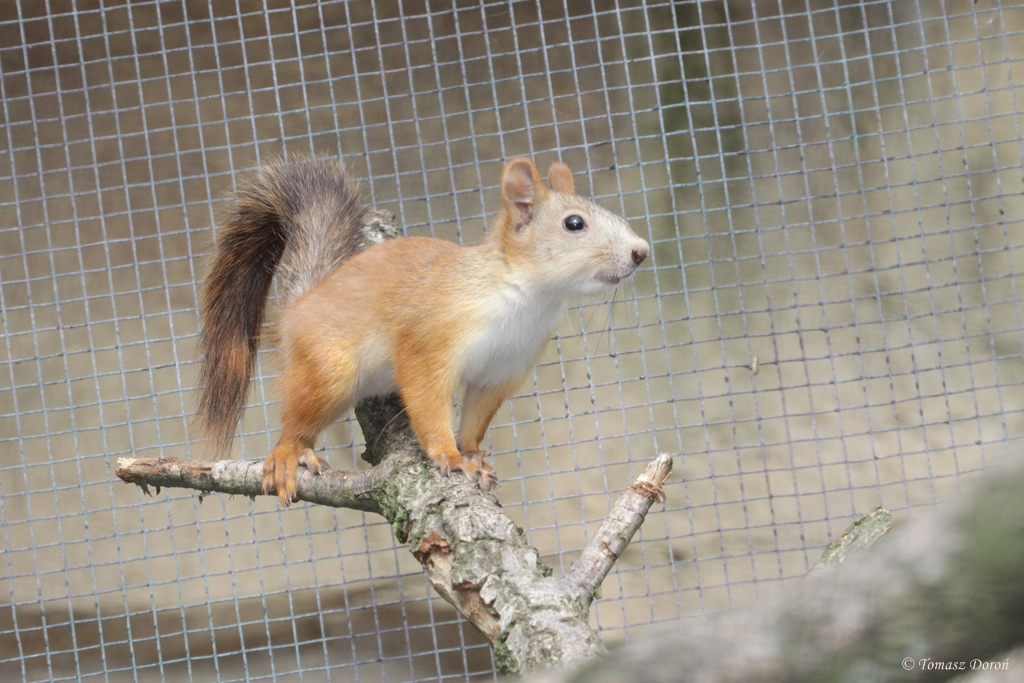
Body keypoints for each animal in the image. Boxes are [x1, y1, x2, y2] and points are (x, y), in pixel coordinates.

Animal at [196, 157, 649, 505]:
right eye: (574, 223)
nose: (641, 251)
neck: (527, 300)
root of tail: (299, 307)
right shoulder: (429, 341)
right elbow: (428, 402)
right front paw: (449, 455)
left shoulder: (504, 370)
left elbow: (476, 417)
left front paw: (473, 455)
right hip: (328, 368)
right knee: (296, 419)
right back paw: (289, 454)